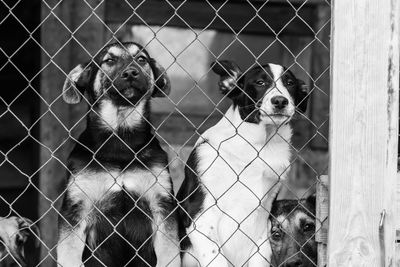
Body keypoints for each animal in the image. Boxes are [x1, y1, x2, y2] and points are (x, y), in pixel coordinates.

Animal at [56, 42, 181, 267]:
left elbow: (169, 253)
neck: (121, 138)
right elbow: (69, 254)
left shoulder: (162, 203)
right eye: (109, 60)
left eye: (141, 59)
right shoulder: (76, 207)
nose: (131, 73)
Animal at [177, 60, 310, 267]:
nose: (280, 101)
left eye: (290, 83)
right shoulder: (199, 214)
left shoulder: (264, 223)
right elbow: (215, 257)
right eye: (260, 83)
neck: (259, 147)